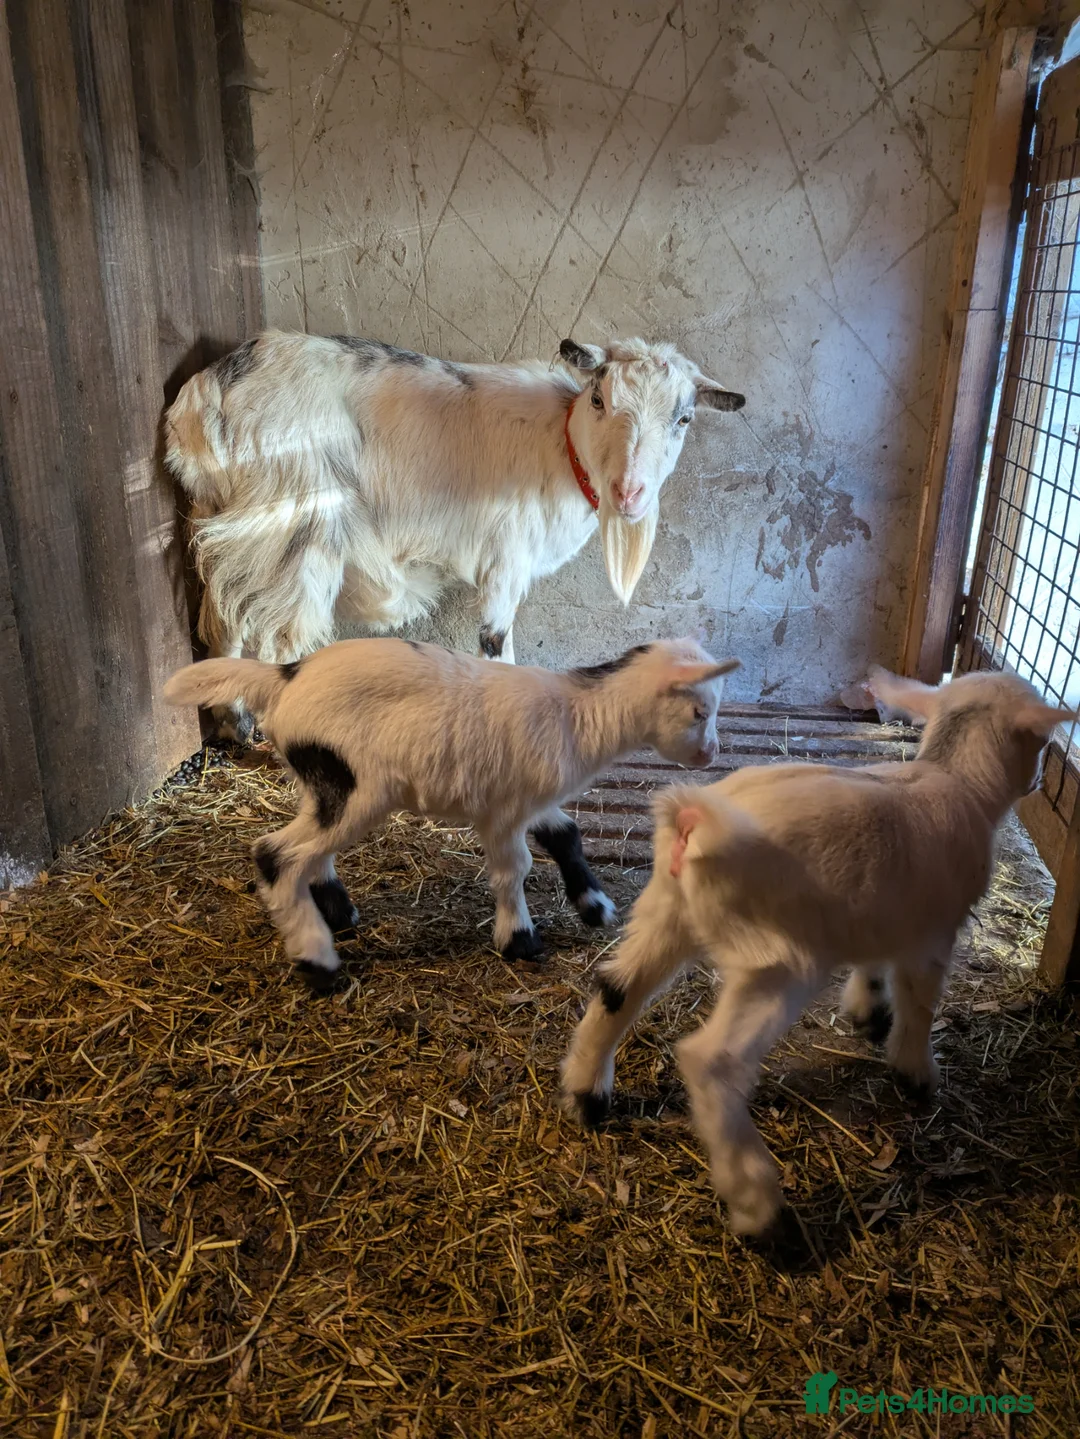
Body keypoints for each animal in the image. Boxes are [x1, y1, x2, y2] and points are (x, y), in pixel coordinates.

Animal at [164, 637, 739, 987]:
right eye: (699, 711)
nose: (711, 755)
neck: (578, 717)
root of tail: (284, 677)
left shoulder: (529, 801)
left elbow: (567, 836)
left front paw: (594, 907)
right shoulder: (503, 810)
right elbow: (514, 871)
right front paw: (520, 940)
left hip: (326, 781)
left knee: (309, 847)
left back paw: (339, 915)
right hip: (354, 785)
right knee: (277, 854)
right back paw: (318, 961)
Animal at [165, 331, 745, 739]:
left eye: (684, 419)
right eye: (599, 400)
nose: (630, 493)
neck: (560, 447)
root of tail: (202, 397)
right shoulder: (506, 559)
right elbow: (495, 645)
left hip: (231, 531)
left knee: (224, 625)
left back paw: (234, 724)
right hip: (290, 531)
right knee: (274, 636)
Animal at [560, 666, 1072, 1235]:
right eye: (1043, 743)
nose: (1037, 784)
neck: (955, 776)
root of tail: (696, 819)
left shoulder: (881, 908)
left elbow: (874, 964)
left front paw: (868, 1012)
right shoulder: (934, 933)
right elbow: (920, 1004)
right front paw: (916, 1073)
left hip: (666, 913)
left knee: (614, 989)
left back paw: (587, 1095)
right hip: (776, 959)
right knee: (711, 1061)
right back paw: (757, 1203)